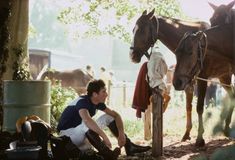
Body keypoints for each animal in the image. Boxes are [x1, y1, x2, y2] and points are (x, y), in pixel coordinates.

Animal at [129, 9, 210, 144]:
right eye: (133, 30)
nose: (132, 55)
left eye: (141, 30)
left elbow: (198, 107)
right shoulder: (187, 81)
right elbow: (188, 106)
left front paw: (199, 137)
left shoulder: (199, 79)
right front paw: (187, 133)